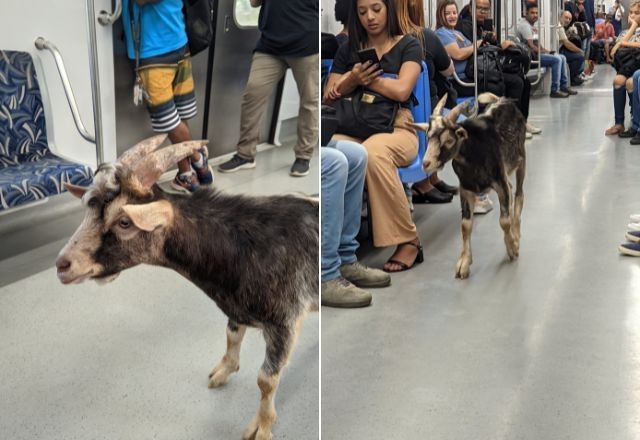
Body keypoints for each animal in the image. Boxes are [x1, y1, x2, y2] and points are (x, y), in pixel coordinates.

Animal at [53, 135, 318, 440]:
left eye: (124, 221)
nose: (62, 265)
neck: (246, 247)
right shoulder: (236, 307)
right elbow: (232, 336)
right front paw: (223, 372)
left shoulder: (286, 321)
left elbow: (266, 380)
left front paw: (261, 427)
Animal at [412, 93, 528, 278]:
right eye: (428, 137)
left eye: (449, 140)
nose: (426, 164)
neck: (475, 152)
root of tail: (503, 100)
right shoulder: (466, 189)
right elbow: (465, 225)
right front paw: (464, 263)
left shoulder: (499, 182)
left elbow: (504, 222)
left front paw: (513, 247)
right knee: (512, 190)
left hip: (520, 158)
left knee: (519, 194)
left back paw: (516, 232)